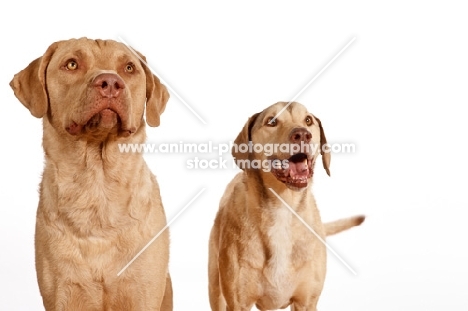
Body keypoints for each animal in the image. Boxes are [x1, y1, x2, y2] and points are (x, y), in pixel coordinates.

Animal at [9, 37, 174, 310]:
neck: (98, 186)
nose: (110, 83)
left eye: (129, 68)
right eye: (72, 64)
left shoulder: (142, 292)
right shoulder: (63, 293)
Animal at [208, 102, 366, 310]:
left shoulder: (306, 302)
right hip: (215, 288)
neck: (283, 206)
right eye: (271, 121)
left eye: (308, 120)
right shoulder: (238, 303)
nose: (302, 134)